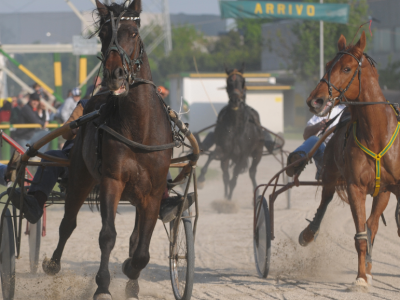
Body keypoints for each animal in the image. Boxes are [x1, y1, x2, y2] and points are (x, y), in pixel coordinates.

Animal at [41, 1, 172, 298]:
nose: (115, 73)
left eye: (134, 32)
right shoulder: (112, 180)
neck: (139, 128)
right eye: (102, 34)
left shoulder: (154, 191)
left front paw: (130, 272)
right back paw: (53, 264)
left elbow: (142, 250)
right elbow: (107, 235)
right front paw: (102, 285)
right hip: (80, 174)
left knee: (136, 237)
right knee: (68, 223)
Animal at [198, 67, 266, 200]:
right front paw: (201, 179)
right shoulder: (224, 150)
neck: (235, 126)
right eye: (228, 81)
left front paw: (229, 199)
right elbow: (212, 156)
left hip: (258, 152)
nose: (235, 100)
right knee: (225, 174)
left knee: (252, 172)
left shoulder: (243, 155)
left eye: (242, 81)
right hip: (227, 158)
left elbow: (235, 178)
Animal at [304, 31, 400, 290]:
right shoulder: (355, 187)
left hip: (384, 192)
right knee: (325, 200)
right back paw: (309, 233)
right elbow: (360, 236)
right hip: (330, 173)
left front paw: (366, 271)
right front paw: (360, 277)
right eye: (328, 64)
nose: (315, 101)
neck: (376, 135)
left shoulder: (392, 188)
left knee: (373, 224)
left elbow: (372, 227)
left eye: (346, 68)